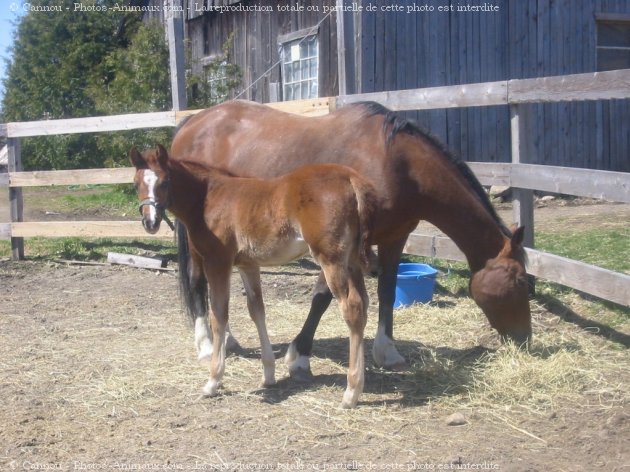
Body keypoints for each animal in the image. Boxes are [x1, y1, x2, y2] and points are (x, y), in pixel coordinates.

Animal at [132, 146, 380, 408]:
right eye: (136, 183)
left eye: (165, 182)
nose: (150, 222)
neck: (208, 198)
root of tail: (351, 179)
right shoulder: (248, 265)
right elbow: (257, 311)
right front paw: (268, 374)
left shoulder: (218, 262)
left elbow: (219, 316)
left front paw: (213, 381)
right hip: (352, 261)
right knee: (363, 304)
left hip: (331, 259)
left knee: (352, 308)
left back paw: (351, 392)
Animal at [170, 100, 532, 376]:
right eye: (519, 282)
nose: (525, 338)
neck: (395, 163)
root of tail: (192, 123)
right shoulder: (333, 243)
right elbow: (322, 297)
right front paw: (299, 355)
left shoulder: (393, 237)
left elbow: (386, 291)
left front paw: (387, 351)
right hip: (198, 235)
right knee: (197, 280)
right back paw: (206, 344)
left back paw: (227, 339)